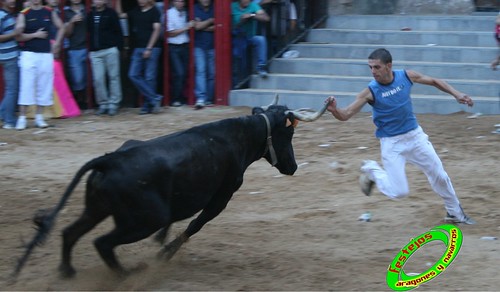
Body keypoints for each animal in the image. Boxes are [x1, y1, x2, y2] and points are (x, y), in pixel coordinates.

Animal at [12, 97, 328, 278]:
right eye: (288, 133)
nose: (293, 166)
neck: (238, 136)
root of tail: (110, 160)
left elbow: (180, 219)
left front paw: (162, 242)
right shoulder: (222, 196)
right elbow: (194, 225)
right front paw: (164, 253)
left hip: (97, 208)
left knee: (70, 232)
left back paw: (68, 271)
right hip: (144, 219)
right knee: (102, 242)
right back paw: (128, 274)